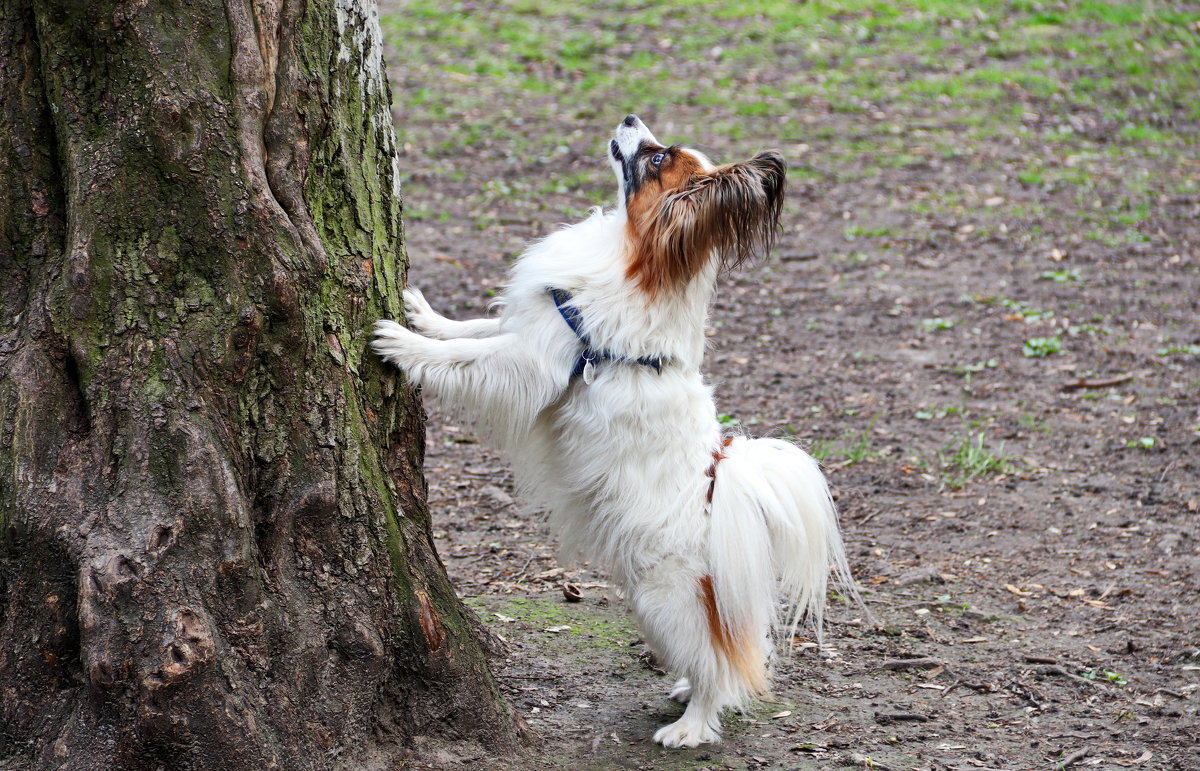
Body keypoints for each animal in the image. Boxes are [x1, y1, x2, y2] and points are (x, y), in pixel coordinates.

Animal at [374, 114, 854, 744]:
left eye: (657, 160)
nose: (629, 118)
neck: (624, 251)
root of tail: (722, 488)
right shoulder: (533, 326)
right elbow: (475, 329)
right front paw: (425, 313)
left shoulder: (534, 360)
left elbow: (466, 357)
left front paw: (403, 344)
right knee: (735, 653)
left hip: (662, 601)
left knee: (720, 666)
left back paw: (690, 725)